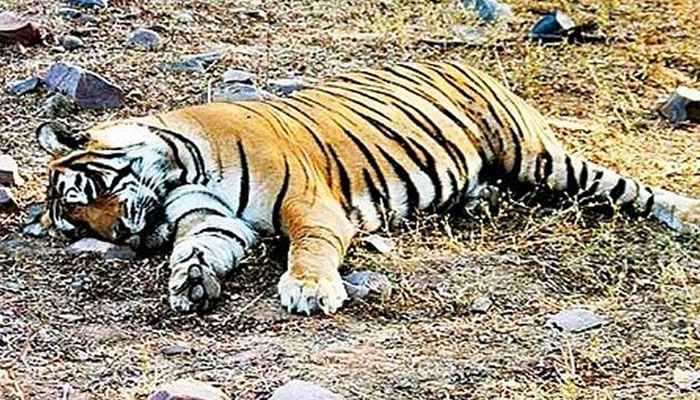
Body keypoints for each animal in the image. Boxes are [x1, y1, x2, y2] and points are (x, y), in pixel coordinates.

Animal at [37, 61, 700, 315]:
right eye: (78, 225)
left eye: (85, 194)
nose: (124, 236)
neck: (181, 167)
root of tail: (465, 63)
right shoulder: (212, 220)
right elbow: (199, 248)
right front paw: (190, 281)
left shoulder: (311, 206)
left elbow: (308, 249)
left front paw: (308, 289)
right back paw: (480, 198)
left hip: (539, 158)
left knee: (626, 186)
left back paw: (686, 213)